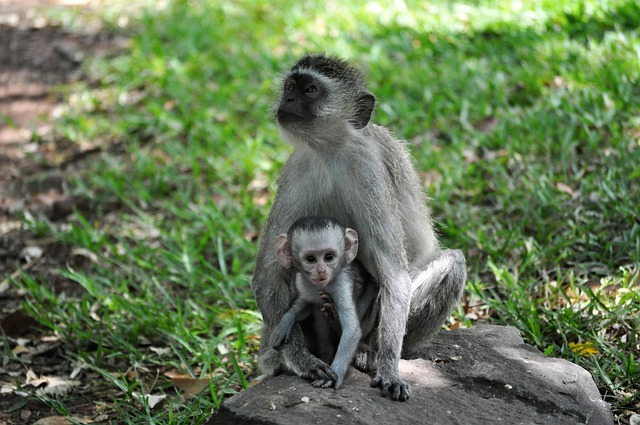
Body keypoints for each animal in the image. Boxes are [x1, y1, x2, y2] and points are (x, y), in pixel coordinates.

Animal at [270, 215, 364, 388]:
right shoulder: (303, 281)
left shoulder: (342, 284)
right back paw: (325, 353)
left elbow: (352, 330)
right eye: (311, 259)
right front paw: (285, 322)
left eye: (329, 257)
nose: (321, 271)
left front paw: (336, 373)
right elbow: (305, 303)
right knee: (318, 306)